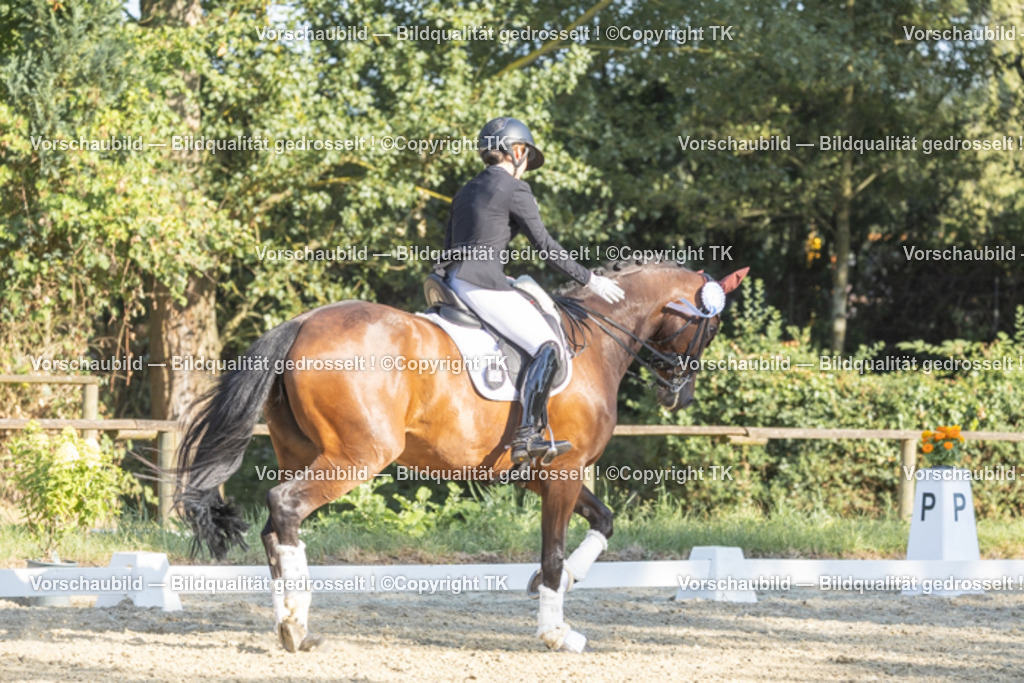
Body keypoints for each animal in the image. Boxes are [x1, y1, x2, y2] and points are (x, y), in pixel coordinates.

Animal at [175, 260, 748, 653]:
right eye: (711, 328)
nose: (679, 396)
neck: (594, 340)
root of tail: (304, 322)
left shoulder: (538, 472)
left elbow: (602, 521)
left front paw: (561, 584)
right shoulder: (563, 471)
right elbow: (554, 550)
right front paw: (556, 632)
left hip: (300, 450)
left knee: (275, 526)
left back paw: (292, 625)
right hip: (357, 456)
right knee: (286, 506)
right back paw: (295, 623)